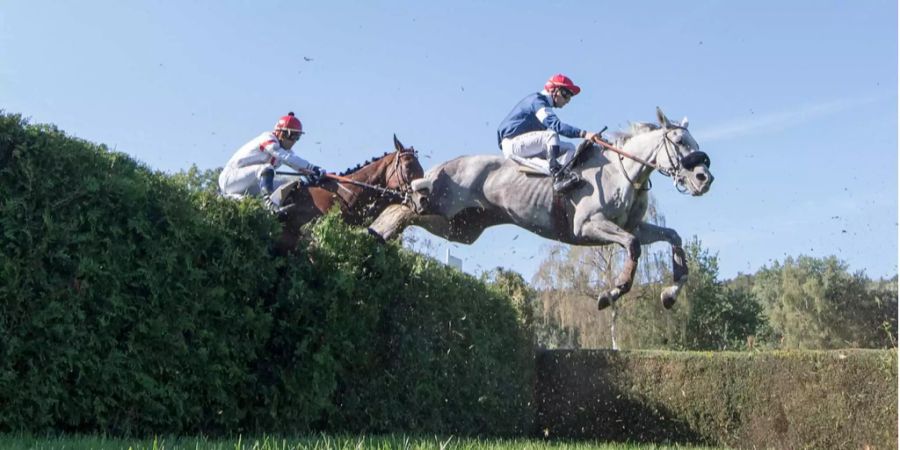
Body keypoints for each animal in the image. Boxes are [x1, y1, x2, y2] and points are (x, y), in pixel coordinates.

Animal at [370, 108, 712, 310]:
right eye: (679, 141)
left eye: (694, 142)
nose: (704, 178)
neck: (621, 171)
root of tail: (441, 167)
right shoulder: (589, 226)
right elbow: (633, 245)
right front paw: (612, 292)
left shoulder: (633, 224)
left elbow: (672, 237)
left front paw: (670, 293)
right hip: (438, 208)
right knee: (400, 210)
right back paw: (374, 236)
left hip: (458, 226)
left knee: (399, 215)